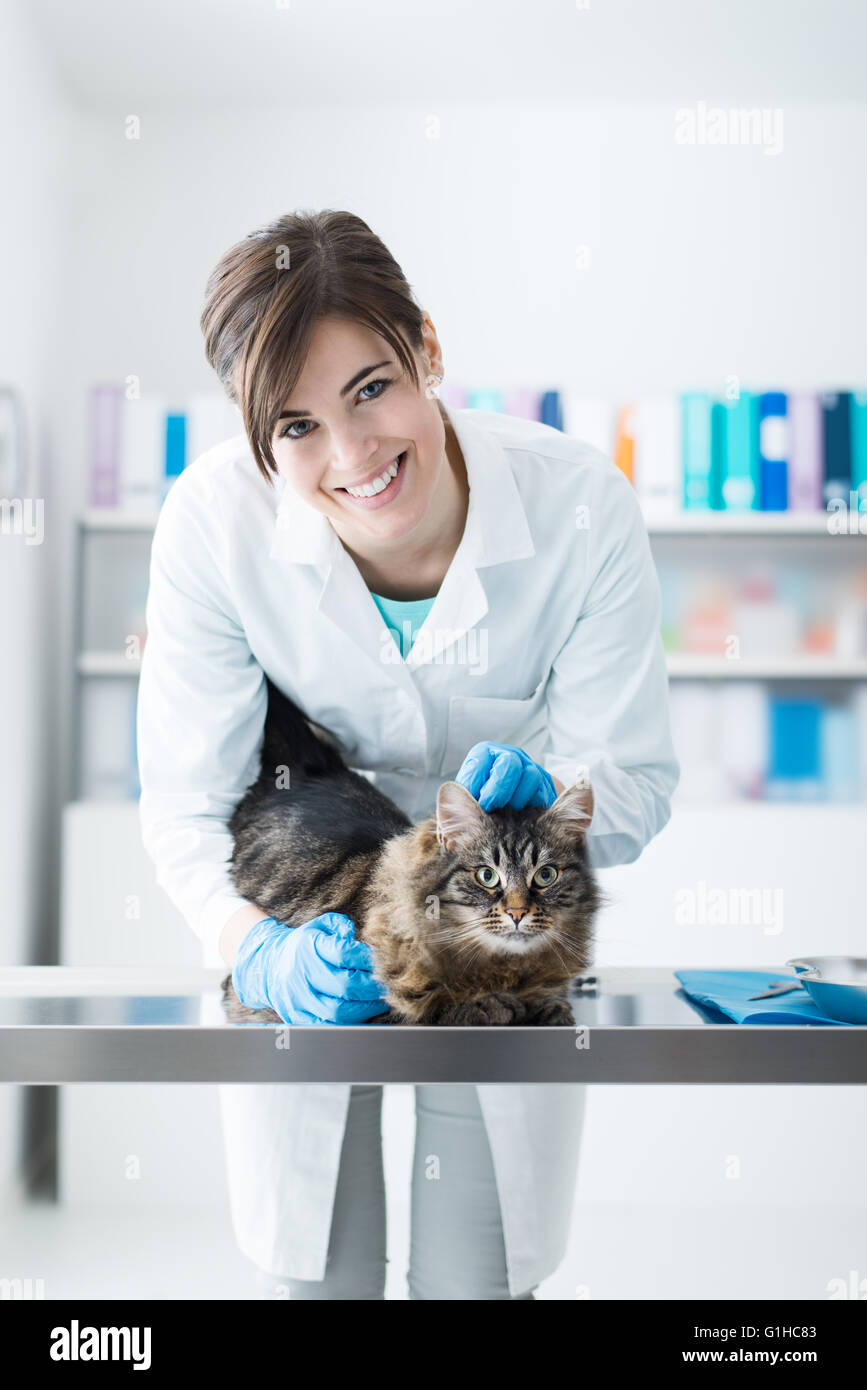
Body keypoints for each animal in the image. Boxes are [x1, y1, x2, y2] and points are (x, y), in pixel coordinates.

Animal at [219, 678, 600, 1028]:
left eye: (545, 875)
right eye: (487, 876)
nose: (518, 913)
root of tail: (309, 766)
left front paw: (545, 1006)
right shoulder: (364, 1001)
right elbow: (430, 1008)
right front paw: (494, 1006)